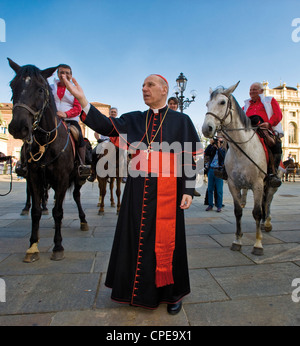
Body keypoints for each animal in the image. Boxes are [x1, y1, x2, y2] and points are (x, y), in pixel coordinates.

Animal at [7, 58, 88, 262]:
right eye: (12, 86)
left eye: (40, 89)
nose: (18, 126)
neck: (45, 142)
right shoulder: (34, 177)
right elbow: (36, 211)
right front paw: (32, 246)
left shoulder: (62, 178)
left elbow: (58, 212)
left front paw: (58, 246)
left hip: (77, 177)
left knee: (76, 197)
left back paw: (83, 220)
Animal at [202, 81, 278, 254]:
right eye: (207, 104)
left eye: (222, 102)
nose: (206, 128)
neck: (241, 149)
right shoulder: (233, 184)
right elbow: (238, 212)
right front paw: (237, 240)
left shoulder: (257, 184)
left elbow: (257, 212)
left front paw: (258, 244)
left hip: (271, 183)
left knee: (268, 201)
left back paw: (267, 222)